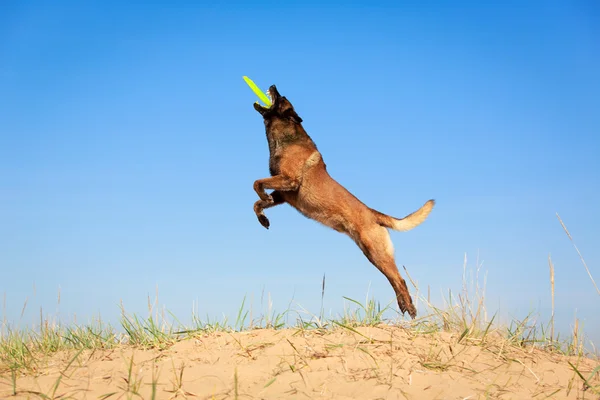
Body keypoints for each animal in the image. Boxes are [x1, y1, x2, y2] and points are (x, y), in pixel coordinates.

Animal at [251, 85, 434, 318]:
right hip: (373, 255)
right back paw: (404, 306)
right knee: (395, 280)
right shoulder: (283, 194)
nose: (274, 85)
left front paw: (262, 198)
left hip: (377, 253)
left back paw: (410, 309)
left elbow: (256, 183)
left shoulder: (289, 181)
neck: (285, 138)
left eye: (281, 98)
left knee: (399, 279)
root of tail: (373, 213)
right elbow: (257, 202)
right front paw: (263, 218)